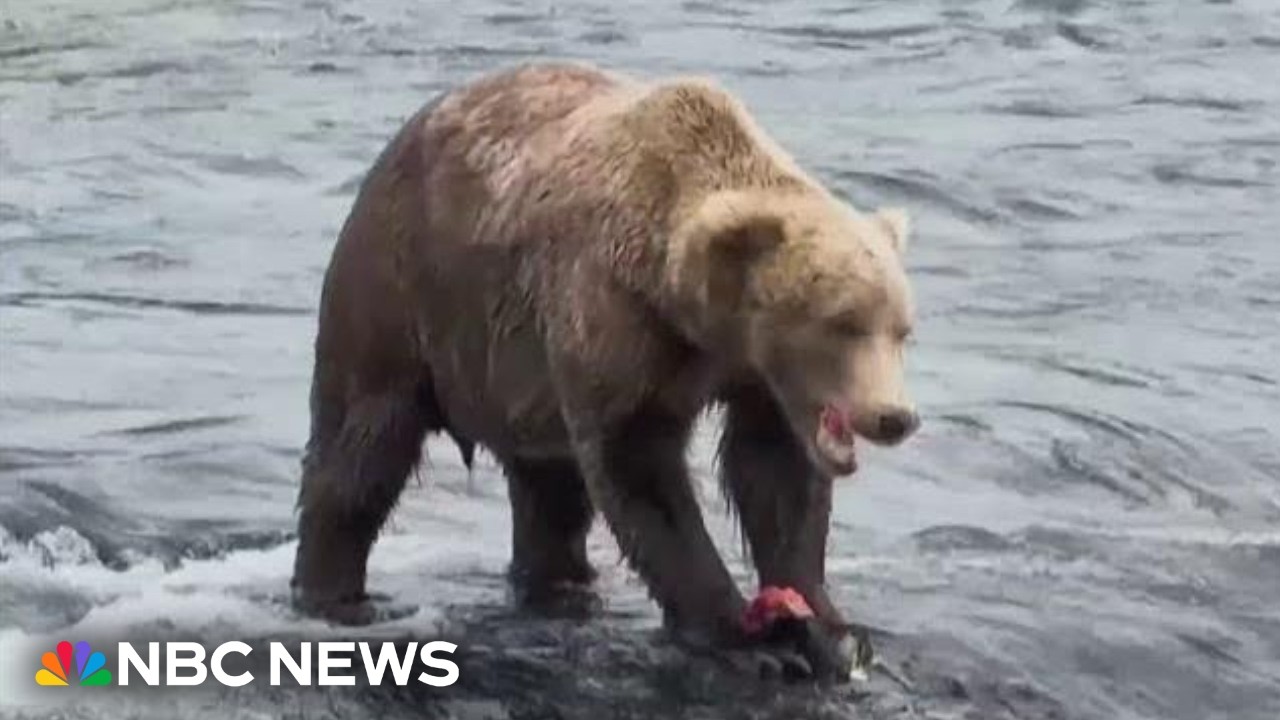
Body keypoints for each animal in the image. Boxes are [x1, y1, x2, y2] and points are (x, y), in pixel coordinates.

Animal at [290, 62, 919, 681]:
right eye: (842, 322)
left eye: (901, 328)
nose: (895, 416)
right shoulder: (614, 320)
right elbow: (641, 472)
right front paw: (737, 632)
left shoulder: (756, 382)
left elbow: (775, 474)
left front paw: (830, 628)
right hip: (399, 302)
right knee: (360, 453)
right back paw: (332, 593)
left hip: (519, 385)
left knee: (550, 498)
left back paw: (559, 584)